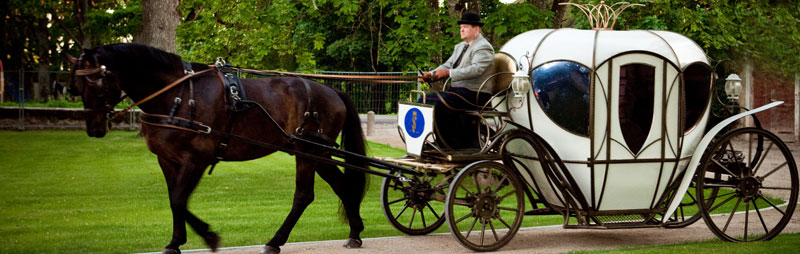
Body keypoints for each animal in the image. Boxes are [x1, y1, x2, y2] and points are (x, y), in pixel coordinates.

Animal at [67, 43, 368, 254]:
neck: (178, 95)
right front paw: (175, 241)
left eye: (95, 83)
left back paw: (275, 240)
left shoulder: (196, 159)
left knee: (303, 195)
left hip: (309, 152)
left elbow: (179, 199)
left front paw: (208, 236)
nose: (94, 128)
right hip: (318, 153)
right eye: (77, 85)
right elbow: (174, 199)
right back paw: (355, 233)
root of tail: (331, 90)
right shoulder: (167, 160)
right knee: (343, 186)